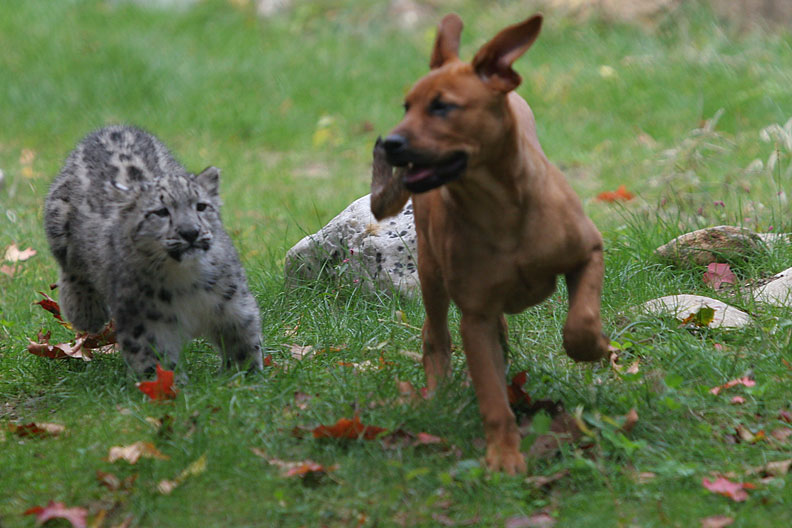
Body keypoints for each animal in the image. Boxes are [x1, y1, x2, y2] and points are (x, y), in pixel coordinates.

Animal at [370, 13, 608, 474]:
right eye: (407, 106)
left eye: (442, 106)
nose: (389, 144)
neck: (501, 209)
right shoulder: (474, 317)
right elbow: (492, 397)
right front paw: (503, 456)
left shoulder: (589, 252)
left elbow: (582, 320)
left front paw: (594, 347)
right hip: (431, 274)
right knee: (435, 334)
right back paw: (438, 392)